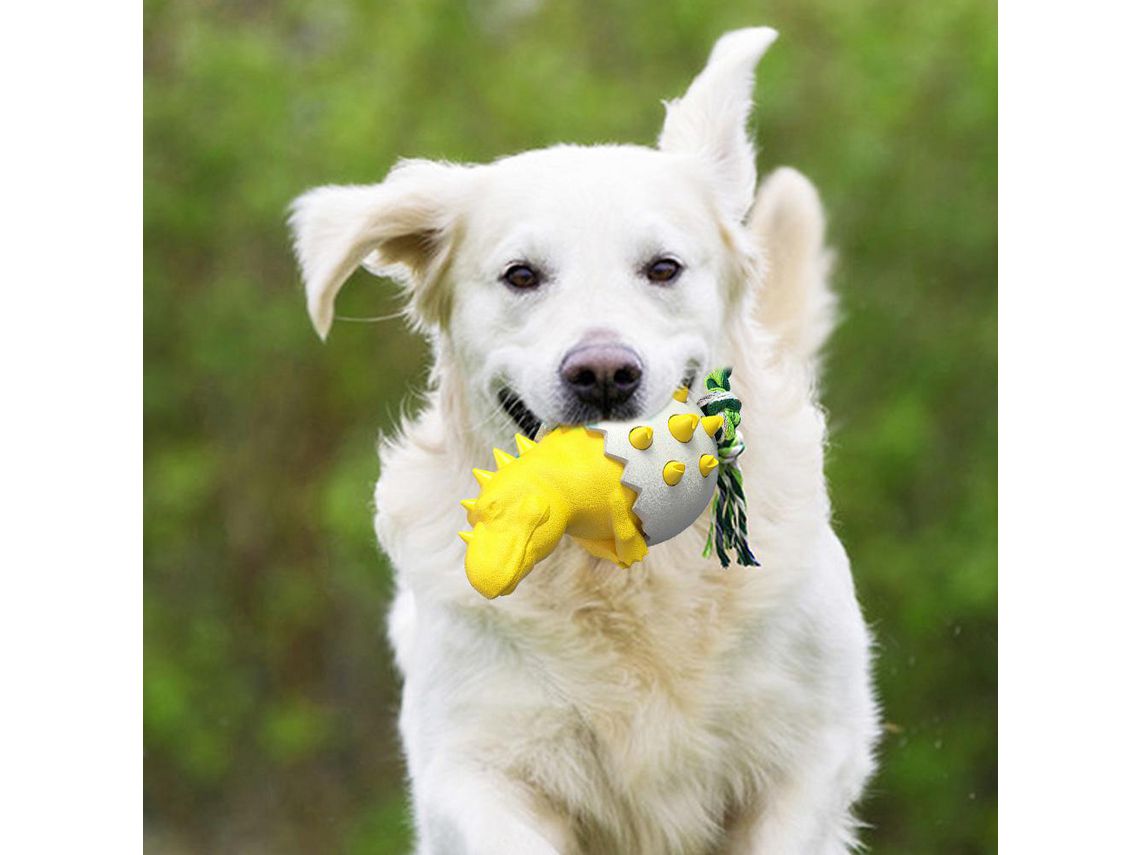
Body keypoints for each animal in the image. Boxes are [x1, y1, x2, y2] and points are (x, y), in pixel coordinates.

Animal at [289, 28, 875, 855]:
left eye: (663, 267)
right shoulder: (475, 764)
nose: (603, 373)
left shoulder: (813, 750)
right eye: (521, 275)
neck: (625, 570)